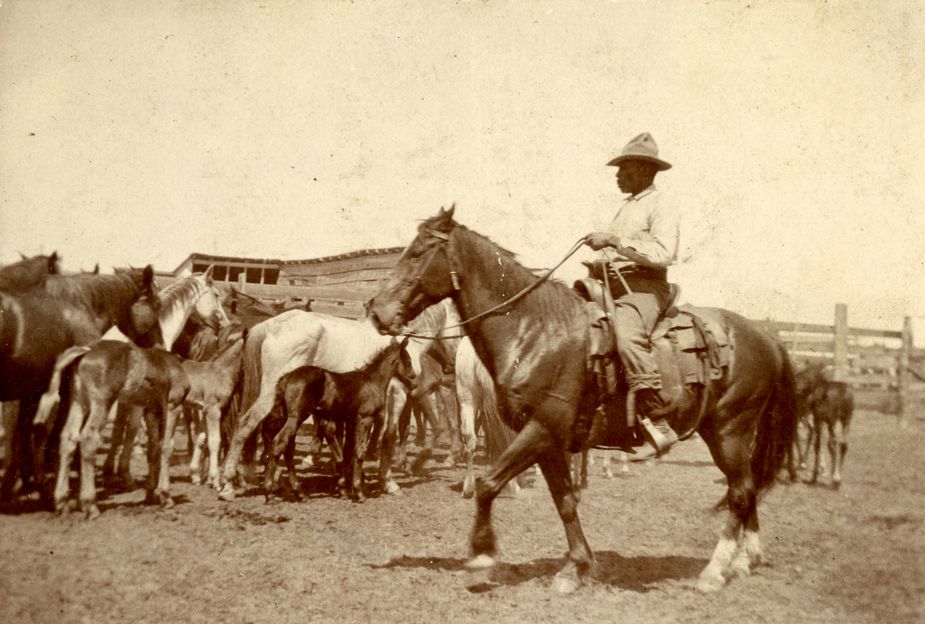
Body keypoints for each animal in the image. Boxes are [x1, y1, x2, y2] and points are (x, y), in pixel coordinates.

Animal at [364, 206, 796, 596]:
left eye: (418, 252)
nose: (377, 311)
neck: (534, 330)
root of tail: (765, 338)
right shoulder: (548, 440)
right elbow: (565, 501)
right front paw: (575, 568)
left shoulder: (541, 428)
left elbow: (489, 485)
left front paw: (482, 556)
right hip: (725, 432)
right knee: (747, 488)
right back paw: (745, 559)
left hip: (730, 430)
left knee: (741, 492)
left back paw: (715, 571)